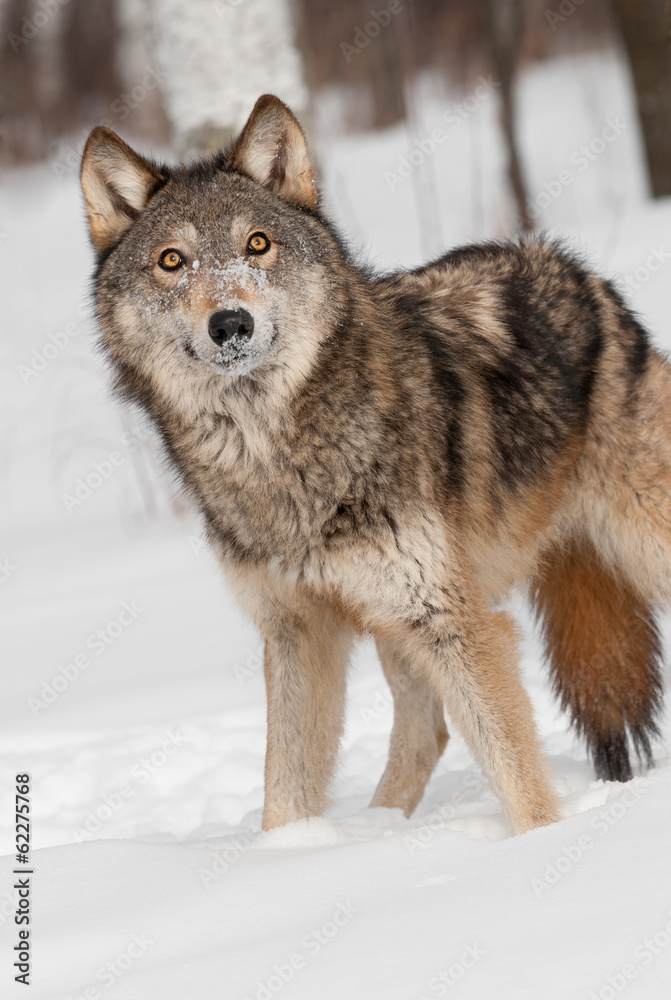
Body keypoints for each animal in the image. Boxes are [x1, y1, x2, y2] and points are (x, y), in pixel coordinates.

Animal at [79, 94, 668, 832]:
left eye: (257, 245)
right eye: (170, 260)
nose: (231, 323)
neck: (275, 455)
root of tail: (576, 270)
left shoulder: (457, 623)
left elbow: (520, 779)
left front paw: (539, 843)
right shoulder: (298, 632)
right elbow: (285, 791)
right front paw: (290, 853)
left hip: (633, 543)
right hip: (394, 623)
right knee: (426, 732)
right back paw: (381, 830)